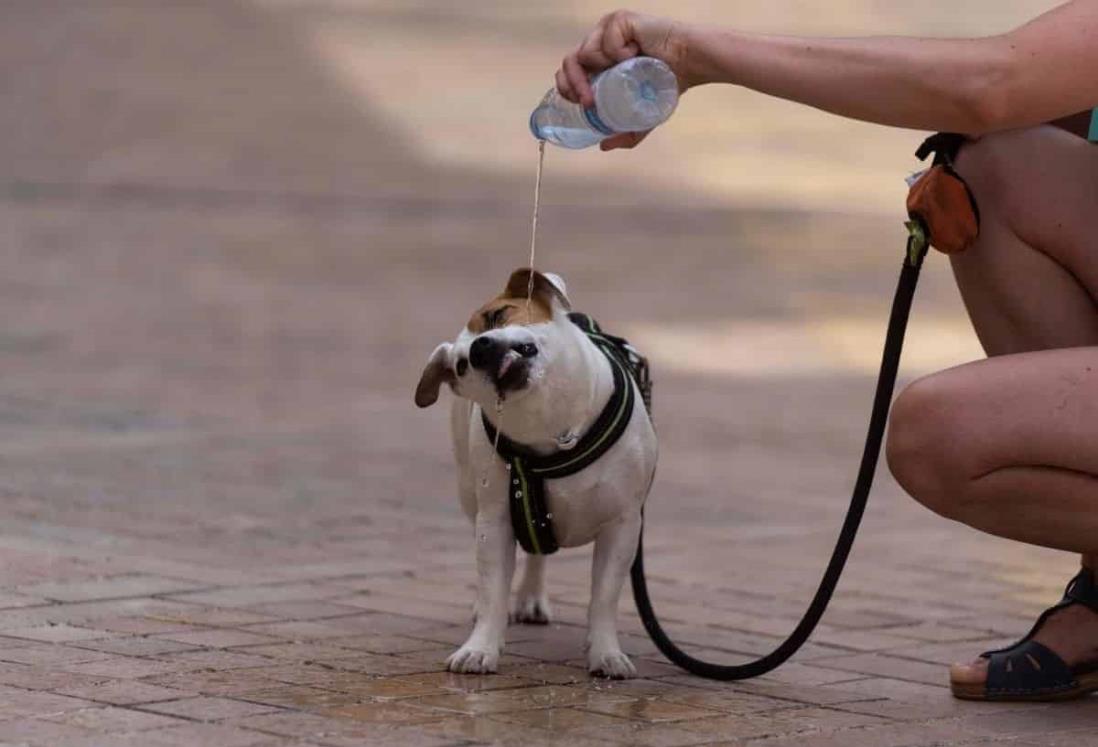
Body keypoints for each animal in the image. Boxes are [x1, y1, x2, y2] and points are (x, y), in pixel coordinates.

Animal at [415, 268, 654, 676]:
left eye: (497, 315)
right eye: (461, 366)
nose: (478, 350)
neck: (550, 423)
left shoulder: (622, 525)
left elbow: (604, 596)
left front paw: (605, 653)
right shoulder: (495, 522)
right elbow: (493, 586)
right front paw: (481, 647)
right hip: (471, 494)